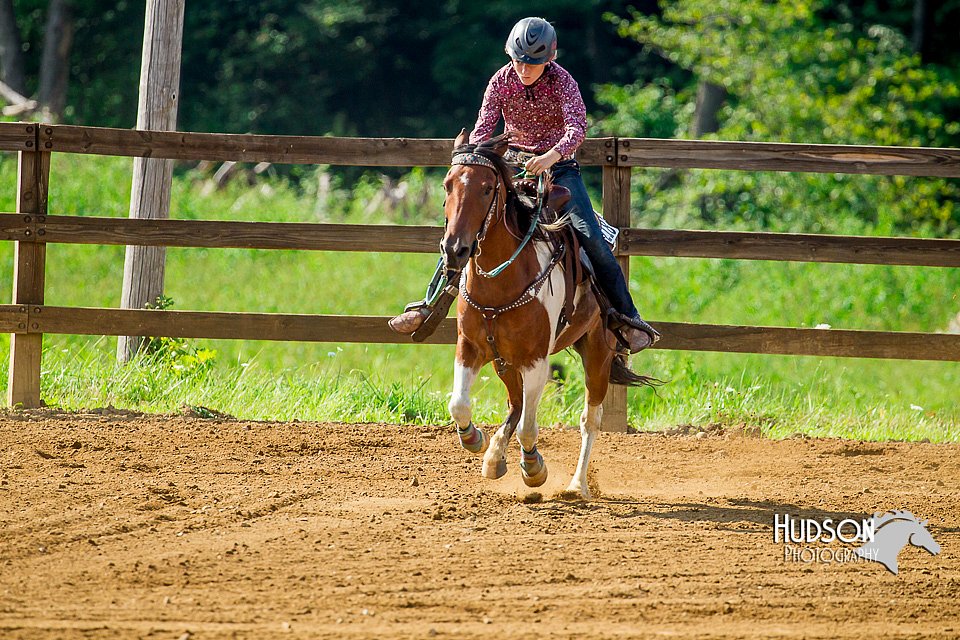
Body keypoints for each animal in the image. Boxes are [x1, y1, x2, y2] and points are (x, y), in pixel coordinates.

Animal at [440, 131, 652, 500]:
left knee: (589, 419)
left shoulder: (536, 359)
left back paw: (577, 485)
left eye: (486, 188)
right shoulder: (469, 347)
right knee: (515, 403)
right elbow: (459, 405)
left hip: (598, 353)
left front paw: (534, 468)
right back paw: (494, 457)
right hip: (504, 361)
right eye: (447, 185)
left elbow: (529, 427)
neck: (500, 282)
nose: (454, 249)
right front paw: (475, 440)